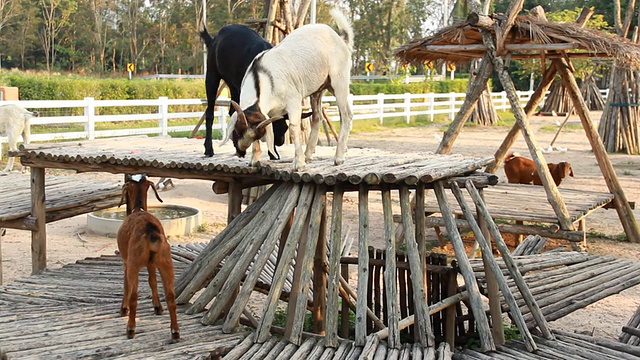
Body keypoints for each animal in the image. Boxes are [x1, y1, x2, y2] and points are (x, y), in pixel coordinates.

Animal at [115, 176, 179, 342]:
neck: (139, 209)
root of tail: (151, 231)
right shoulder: (151, 264)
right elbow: (152, 281)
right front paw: (157, 307)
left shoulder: (126, 260)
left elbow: (126, 285)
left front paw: (122, 309)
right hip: (166, 261)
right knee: (171, 296)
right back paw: (175, 332)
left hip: (134, 263)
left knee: (134, 295)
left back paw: (130, 328)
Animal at [200, 24, 290, 160]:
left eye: (285, 128)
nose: (281, 141)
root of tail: (214, 39)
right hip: (212, 74)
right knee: (210, 112)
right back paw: (209, 149)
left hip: (232, 84)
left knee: (232, 111)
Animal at [225, 8, 356, 172]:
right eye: (237, 131)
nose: (241, 151)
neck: (261, 77)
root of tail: (340, 39)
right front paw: (254, 160)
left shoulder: (293, 101)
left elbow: (294, 128)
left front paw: (298, 164)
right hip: (318, 89)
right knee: (317, 116)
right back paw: (308, 154)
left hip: (339, 81)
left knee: (346, 115)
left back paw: (338, 158)